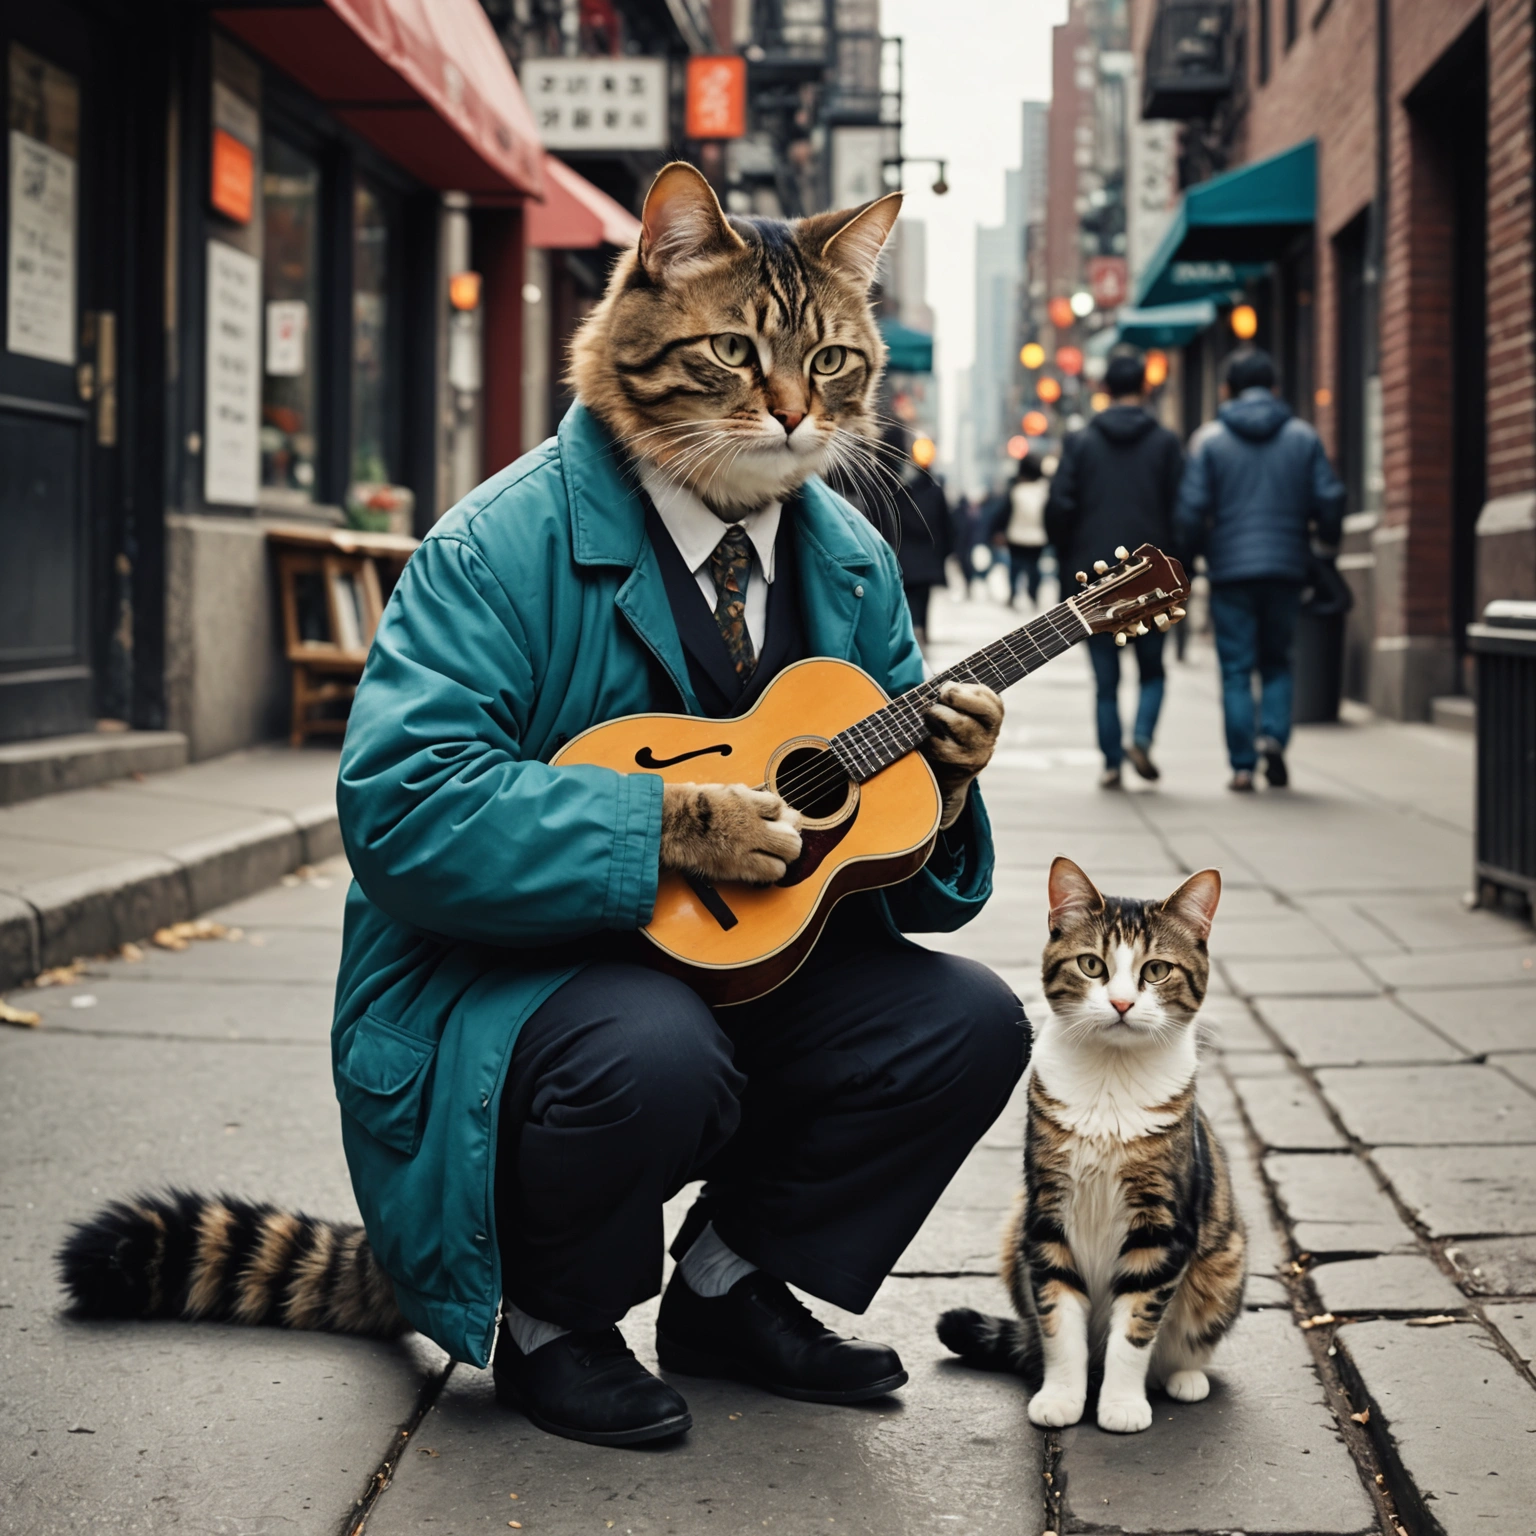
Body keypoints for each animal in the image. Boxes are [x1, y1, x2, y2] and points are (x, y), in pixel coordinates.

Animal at [59, 165, 1026, 1449]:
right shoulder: (449, 674)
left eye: (828, 359)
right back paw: (574, 1362)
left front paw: (960, 743)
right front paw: (720, 824)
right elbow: (421, 789)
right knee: (636, 1065)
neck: (726, 522)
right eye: (733, 350)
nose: (791, 418)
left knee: (960, 1032)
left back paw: (744, 1321)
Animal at [933, 860, 1247, 1431]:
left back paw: (1184, 1377)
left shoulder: (1161, 1228)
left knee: (1183, 1342)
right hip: (1013, 1234)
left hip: (1225, 1263)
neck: (1110, 1080)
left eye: (1156, 971)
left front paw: (1121, 1405)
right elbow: (1059, 1324)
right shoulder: (1046, 1217)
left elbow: (1135, 1329)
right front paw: (1061, 1397)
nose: (1122, 1003)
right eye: (1091, 965)